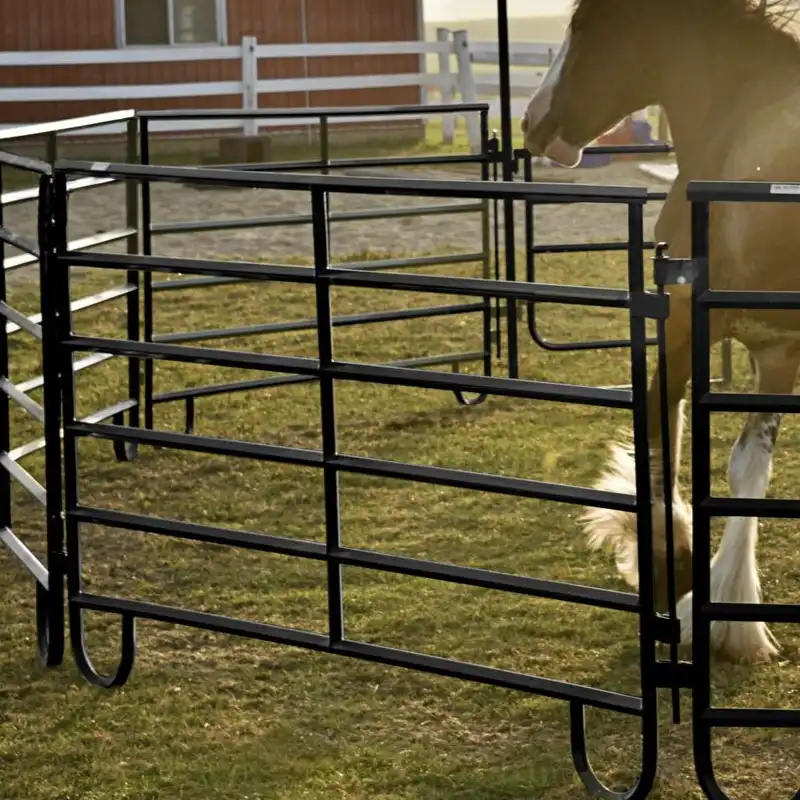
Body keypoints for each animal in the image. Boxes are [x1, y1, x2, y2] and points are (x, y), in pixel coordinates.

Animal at [521, 0, 800, 663]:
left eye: (581, 26)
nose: (531, 123)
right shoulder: (778, 351)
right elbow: (748, 471)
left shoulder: (680, 328)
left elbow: (659, 448)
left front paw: (680, 579)